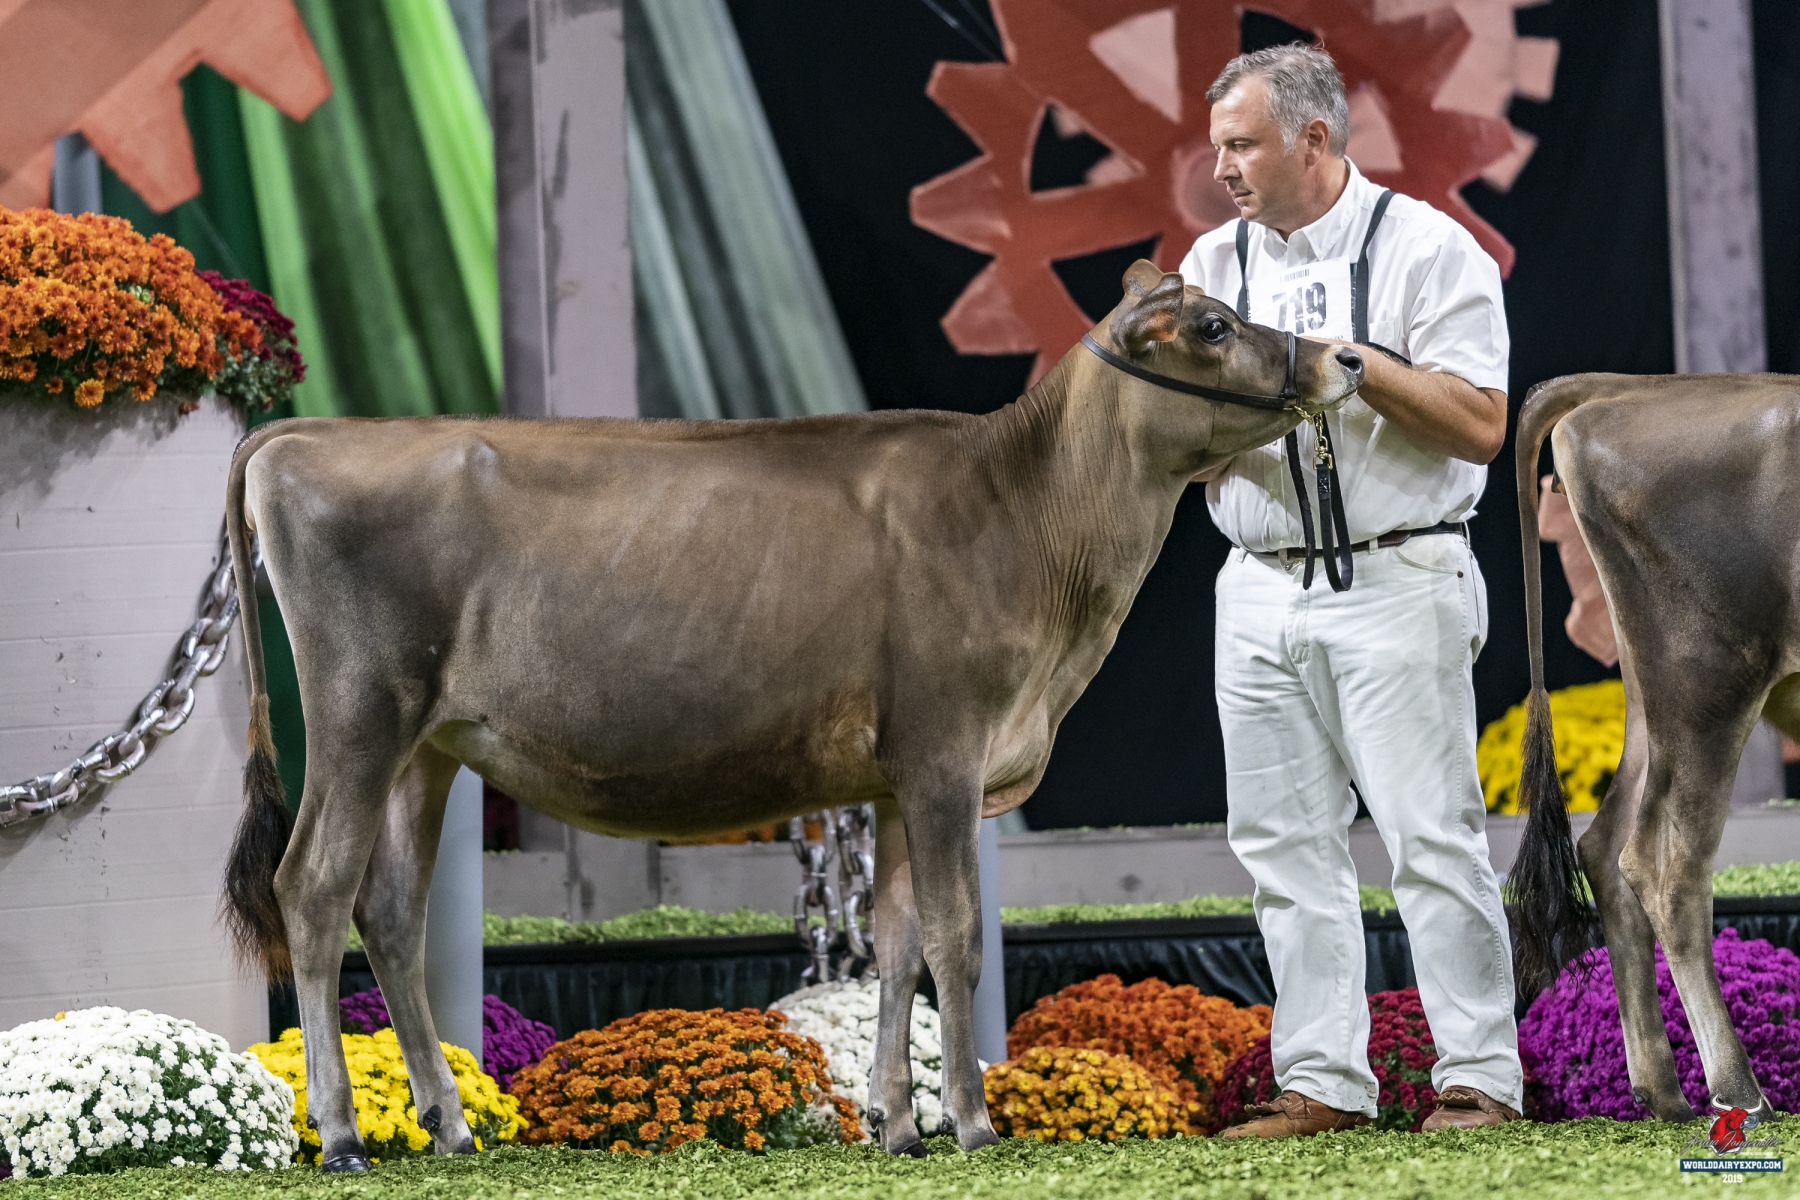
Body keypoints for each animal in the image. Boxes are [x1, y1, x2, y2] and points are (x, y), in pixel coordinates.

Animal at [221, 261, 1364, 1169]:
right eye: (1213, 326)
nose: (1346, 360)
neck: (1030, 519)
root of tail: (302, 434)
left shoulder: (898, 779)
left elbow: (898, 944)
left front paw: (899, 1126)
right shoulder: (947, 748)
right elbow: (956, 936)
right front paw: (972, 1121)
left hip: (428, 746)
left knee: (391, 910)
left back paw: (451, 1128)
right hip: (360, 713)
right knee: (312, 888)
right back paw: (341, 1136)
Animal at [1511, 372, 1800, 1123]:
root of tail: (1625, 387)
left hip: (1652, 693)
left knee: (1605, 845)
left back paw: (1662, 1091)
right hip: (1706, 676)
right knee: (1665, 868)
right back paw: (1739, 1090)